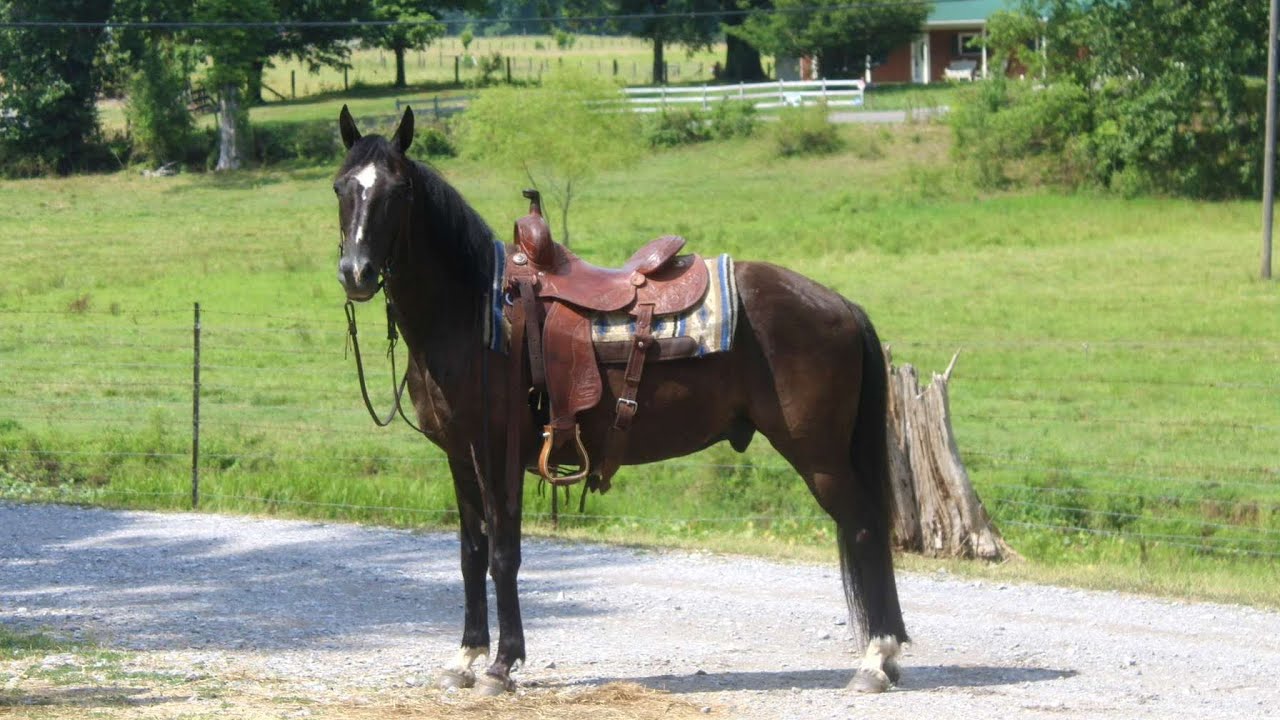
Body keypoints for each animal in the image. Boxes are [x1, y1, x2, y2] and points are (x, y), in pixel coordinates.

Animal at [332, 105, 908, 695]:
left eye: (398, 191)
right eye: (340, 187)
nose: (356, 273)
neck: (473, 312)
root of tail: (839, 304)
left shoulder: (498, 455)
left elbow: (503, 554)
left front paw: (502, 664)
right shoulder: (460, 455)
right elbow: (471, 553)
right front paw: (466, 658)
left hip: (820, 458)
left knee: (864, 527)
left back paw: (875, 660)